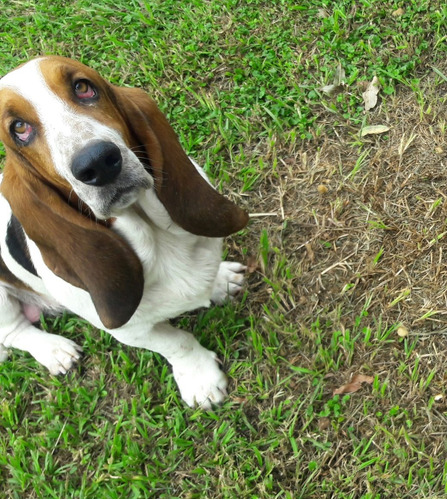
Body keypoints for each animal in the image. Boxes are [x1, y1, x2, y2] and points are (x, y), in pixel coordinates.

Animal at [0, 56, 248, 408]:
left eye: (83, 87)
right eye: (19, 128)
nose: (98, 162)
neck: (155, 238)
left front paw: (219, 281)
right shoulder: (131, 330)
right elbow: (176, 343)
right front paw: (201, 378)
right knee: (14, 331)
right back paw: (55, 351)